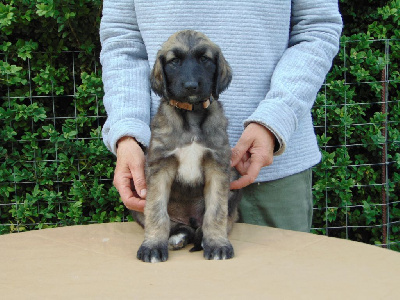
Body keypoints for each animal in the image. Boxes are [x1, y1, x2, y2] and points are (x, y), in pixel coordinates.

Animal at [134, 30, 241, 262]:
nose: (191, 86)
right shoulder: (159, 167)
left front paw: (217, 244)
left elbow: (216, 211)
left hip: (233, 183)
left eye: (204, 59)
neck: (191, 115)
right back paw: (176, 236)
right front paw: (153, 246)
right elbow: (156, 211)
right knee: (175, 224)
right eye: (174, 61)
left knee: (210, 223)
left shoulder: (218, 167)